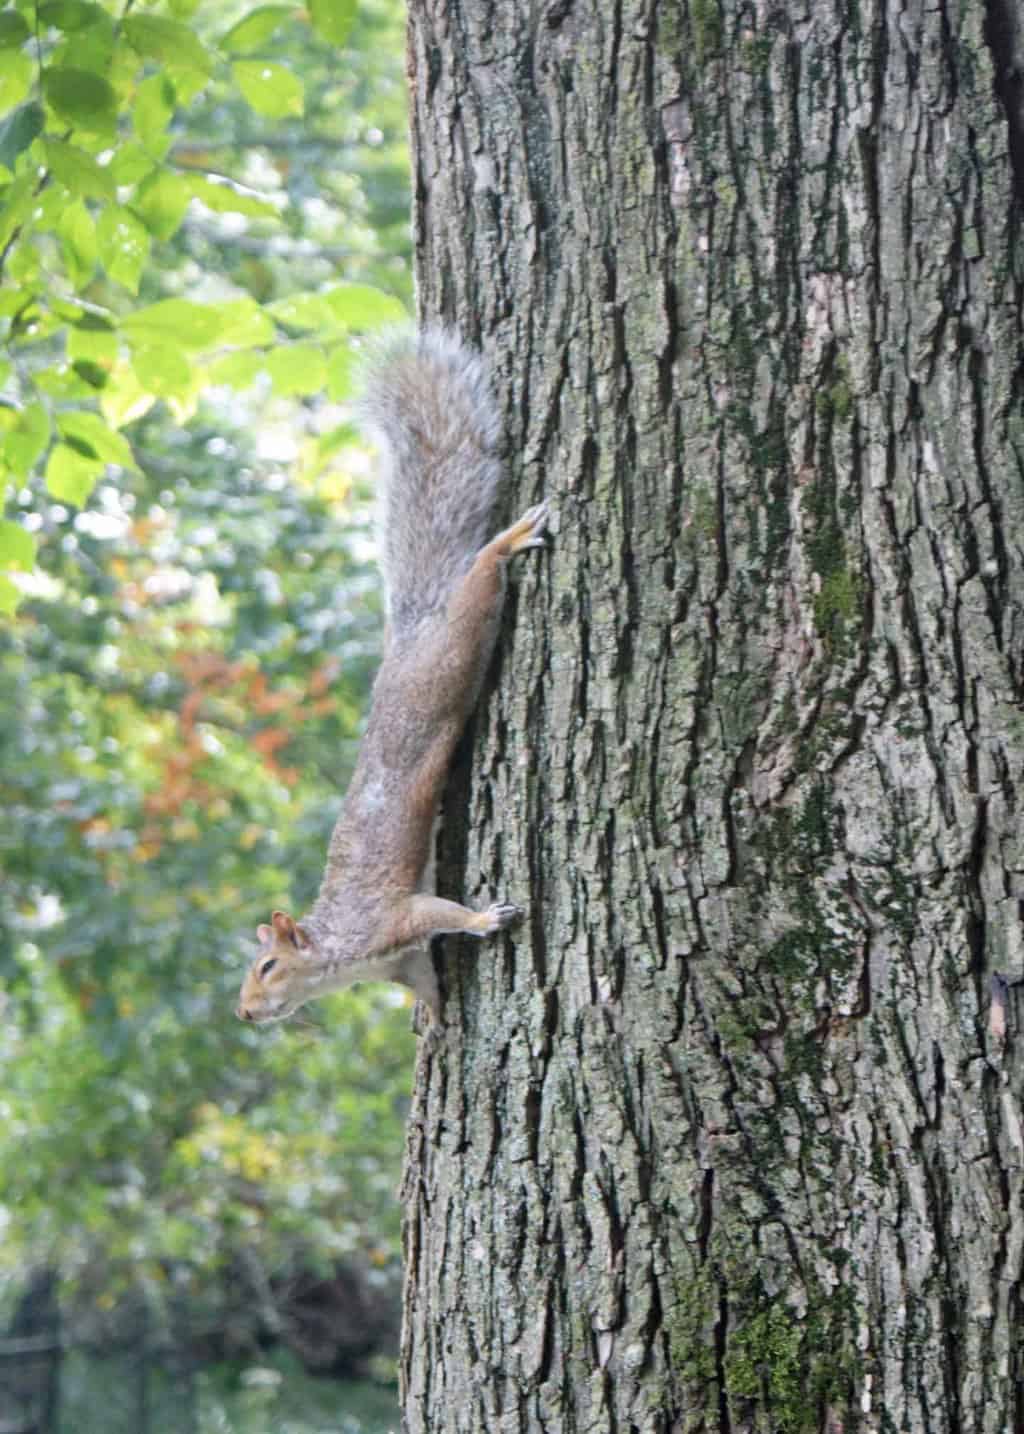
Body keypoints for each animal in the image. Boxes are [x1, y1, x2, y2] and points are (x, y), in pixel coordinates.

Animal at [233, 328, 547, 1021]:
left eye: (269, 965)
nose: (243, 1011)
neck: (338, 954)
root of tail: (407, 637)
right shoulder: (397, 961)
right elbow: (423, 978)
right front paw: (435, 1015)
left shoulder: (391, 918)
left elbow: (440, 911)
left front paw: (486, 920)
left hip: (448, 659)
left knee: (478, 588)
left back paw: (508, 542)